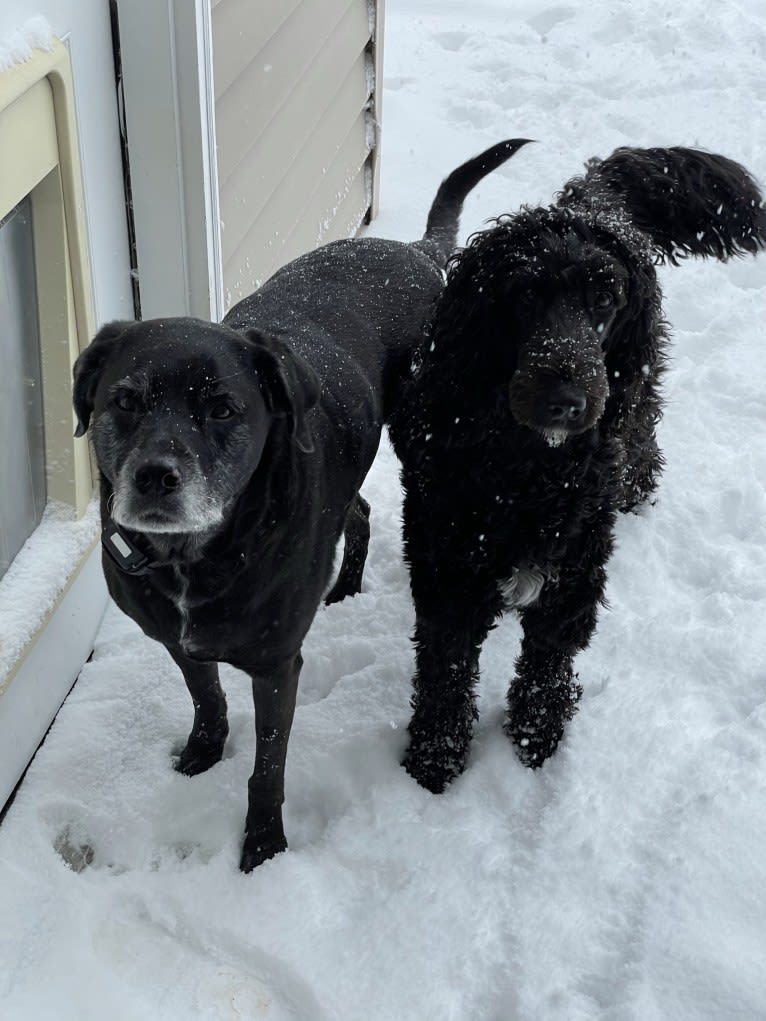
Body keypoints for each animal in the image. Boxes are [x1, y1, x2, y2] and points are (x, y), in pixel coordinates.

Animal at [70, 135, 527, 869]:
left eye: (223, 408)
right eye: (126, 400)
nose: (154, 476)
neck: (198, 559)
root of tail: (418, 251)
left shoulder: (278, 664)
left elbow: (268, 766)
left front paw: (263, 846)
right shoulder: (178, 641)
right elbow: (206, 697)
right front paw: (203, 751)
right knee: (359, 513)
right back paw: (343, 586)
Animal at [392, 148, 763, 792]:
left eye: (605, 301)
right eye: (523, 296)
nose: (566, 400)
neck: (526, 470)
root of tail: (588, 202)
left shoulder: (575, 567)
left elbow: (548, 659)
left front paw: (535, 739)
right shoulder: (449, 571)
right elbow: (446, 669)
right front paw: (433, 763)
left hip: (634, 404)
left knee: (642, 447)